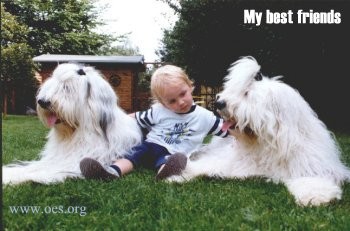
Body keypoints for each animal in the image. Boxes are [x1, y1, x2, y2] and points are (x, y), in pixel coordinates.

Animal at [2, 62, 142, 184]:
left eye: (67, 88)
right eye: (51, 86)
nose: (42, 102)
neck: (75, 132)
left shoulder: (74, 162)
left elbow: (45, 171)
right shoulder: (54, 158)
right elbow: (34, 167)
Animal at [167, 56, 350, 207]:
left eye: (247, 94)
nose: (219, 103)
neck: (267, 144)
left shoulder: (311, 165)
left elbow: (313, 179)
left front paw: (317, 196)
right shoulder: (229, 161)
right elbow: (204, 166)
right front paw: (176, 175)